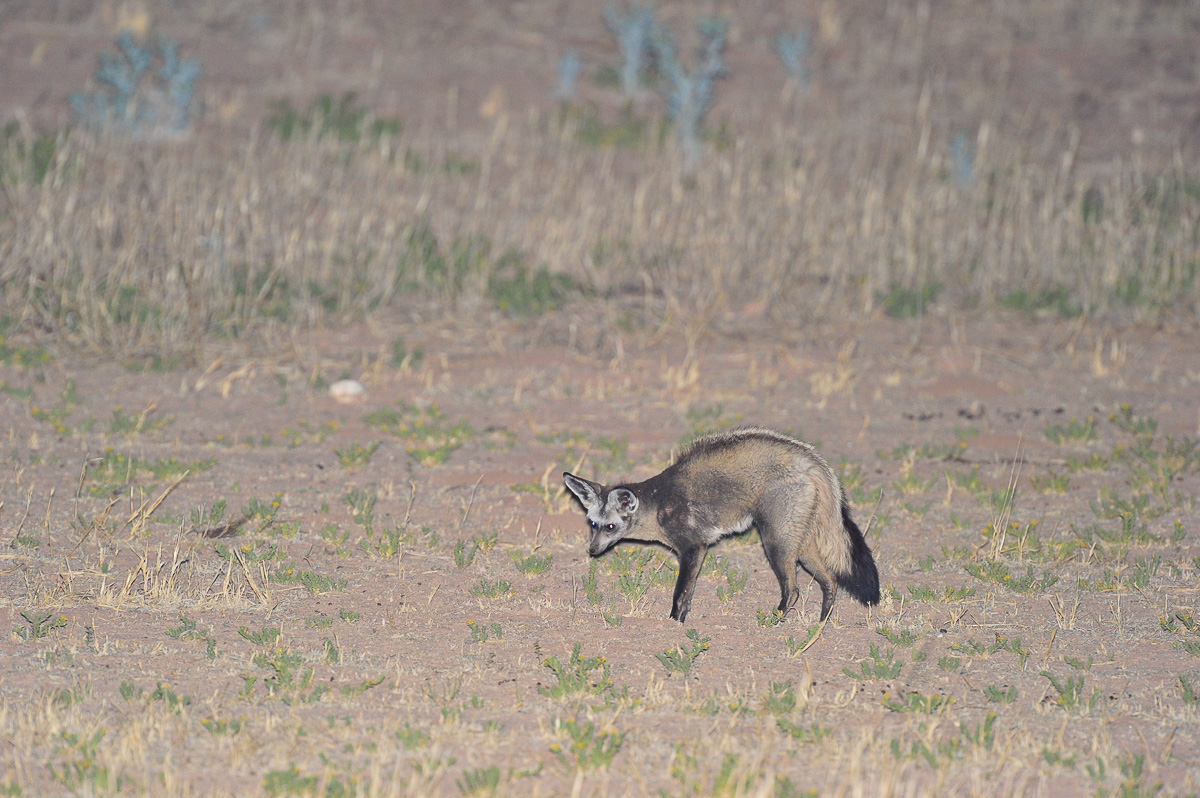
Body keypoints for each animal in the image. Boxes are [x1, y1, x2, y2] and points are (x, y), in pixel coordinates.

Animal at [563, 427, 880, 624]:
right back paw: (820, 624)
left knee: (793, 590)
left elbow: (680, 595)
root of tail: (811, 460)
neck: (658, 502)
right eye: (593, 523)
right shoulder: (696, 551)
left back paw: (774, 621)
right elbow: (688, 595)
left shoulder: (694, 547)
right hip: (799, 545)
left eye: (610, 528)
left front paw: (673, 624)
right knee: (830, 581)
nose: (592, 550)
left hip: (776, 542)